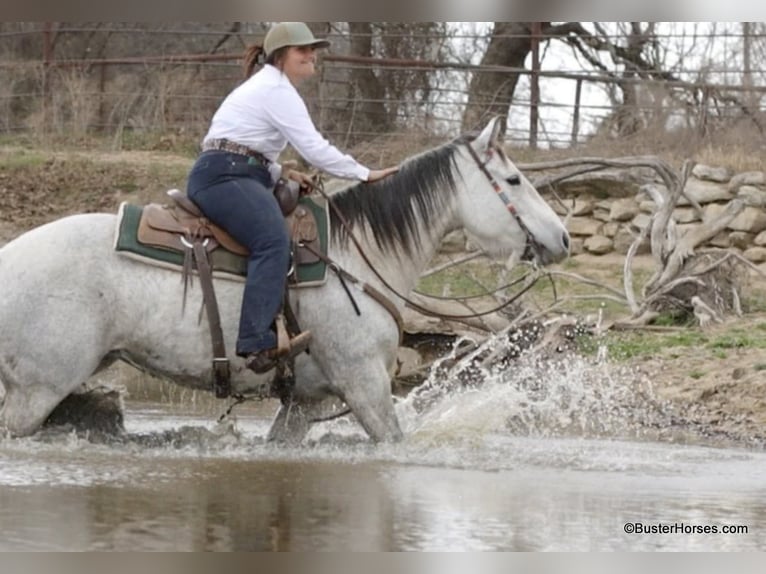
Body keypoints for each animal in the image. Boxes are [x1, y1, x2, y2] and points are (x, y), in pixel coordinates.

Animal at [0, 117, 570, 443]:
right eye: (514, 180)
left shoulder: (306, 402)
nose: (562, 237)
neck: (358, 257)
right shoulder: (364, 385)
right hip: (38, 388)